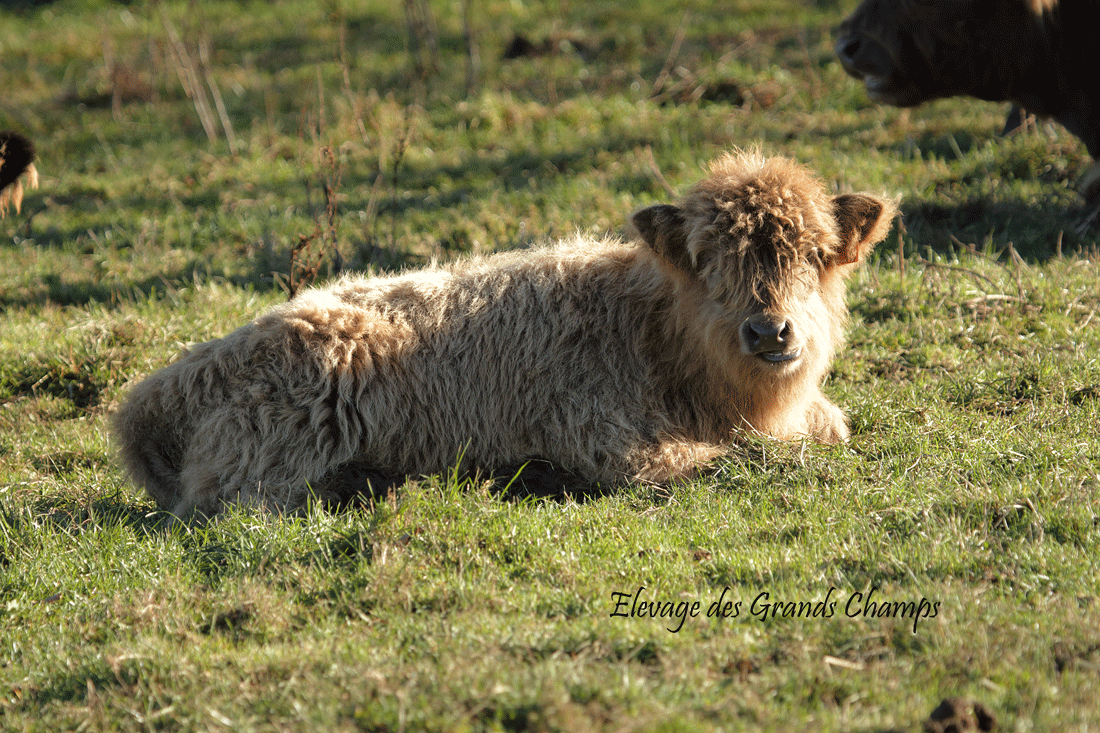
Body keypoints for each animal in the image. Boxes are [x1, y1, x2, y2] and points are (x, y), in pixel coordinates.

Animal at [116, 150, 897, 517]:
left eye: (815, 254)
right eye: (710, 261)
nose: (771, 331)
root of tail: (165, 386)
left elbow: (829, 430)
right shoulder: (613, 440)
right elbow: (726, 460)